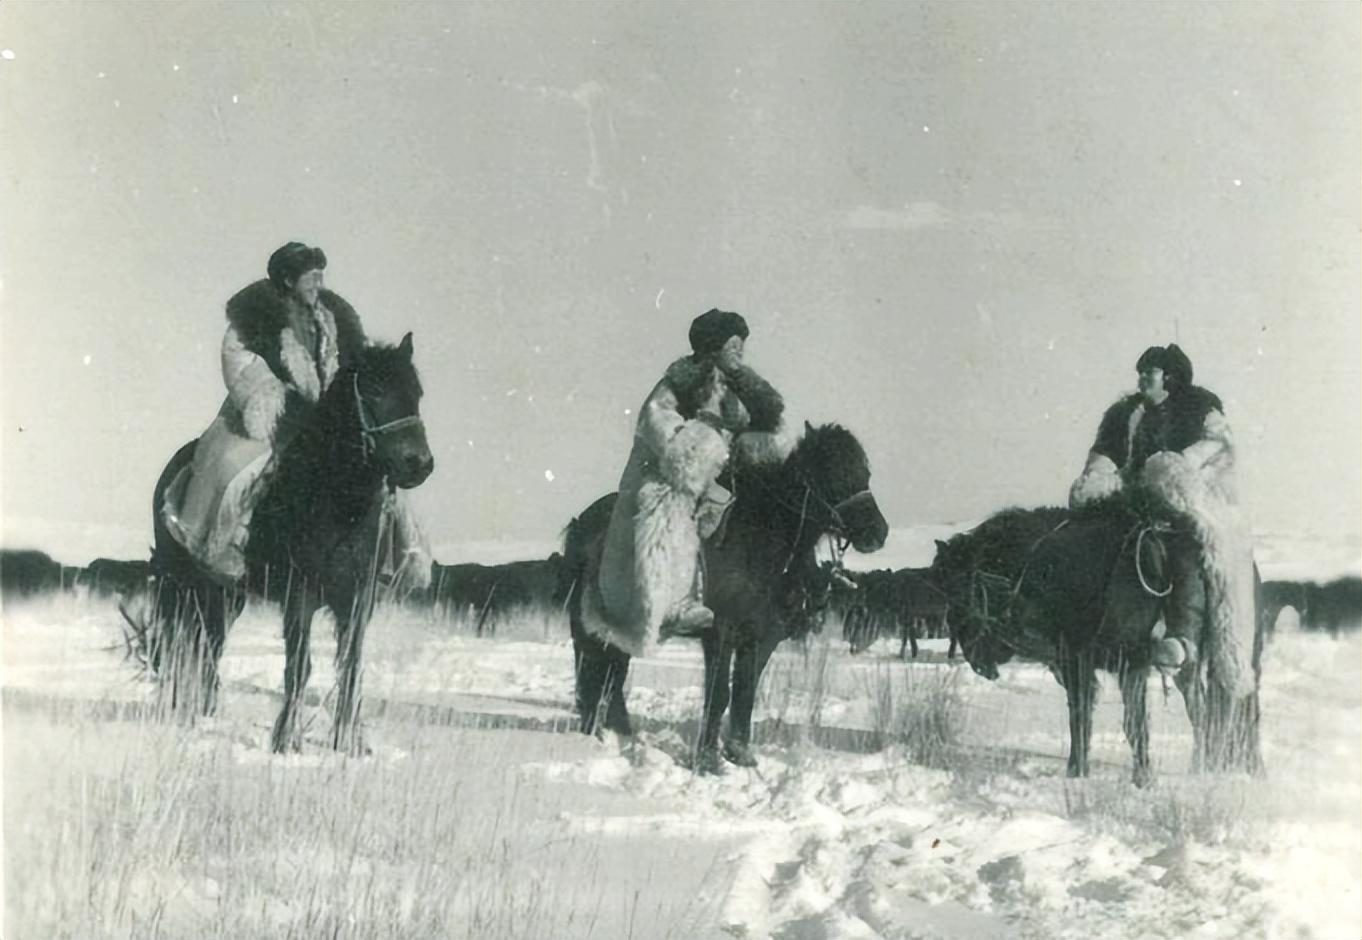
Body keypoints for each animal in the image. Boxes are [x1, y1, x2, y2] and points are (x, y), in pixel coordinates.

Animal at [147, 333, 430, 752]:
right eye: (375, 390)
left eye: (417, 392)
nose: (420, 464)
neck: (333, 503)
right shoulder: (301, 593)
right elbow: (299, 665)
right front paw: (286, 739)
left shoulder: (359, 598)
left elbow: (351, 665)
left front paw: (349, 742)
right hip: (184, 584)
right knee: (183, 640)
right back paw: (181, 710)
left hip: (226, 593)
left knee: (210, 642)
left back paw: (205, 710)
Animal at [558, 422, 888, 773]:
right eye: (830, 471)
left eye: (864, 472)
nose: (878, 533)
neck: (756, 541)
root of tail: (582, 522)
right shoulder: (721, 632)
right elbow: (719, 695)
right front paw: (707, 760)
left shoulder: (761, 637)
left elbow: (745, 691)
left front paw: (740, 753)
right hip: (587, 627)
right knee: (593, 671)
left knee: (611, 675)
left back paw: (619, 733)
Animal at [931, 498, 1258, 784]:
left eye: (959, 587)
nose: (976, 660)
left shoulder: (1080, 661)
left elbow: (1083, 715)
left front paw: (1078, 771)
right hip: (1190, 661)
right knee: (1203, 710)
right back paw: (1202, 767)